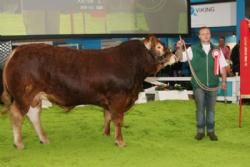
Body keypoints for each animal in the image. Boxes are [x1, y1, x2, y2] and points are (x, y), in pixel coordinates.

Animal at [2, 36, 178, 149]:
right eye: (159, 47)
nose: (174, 54)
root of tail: (18, 50)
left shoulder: (110, 100)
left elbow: (107, 116)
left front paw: (106, 134)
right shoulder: (119, 97)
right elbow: (118, 120)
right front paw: (120, 142)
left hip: (35, 97)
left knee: (33, 115)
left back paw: (44, 139)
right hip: (23, 95)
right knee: (17, 115)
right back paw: (19, 144)